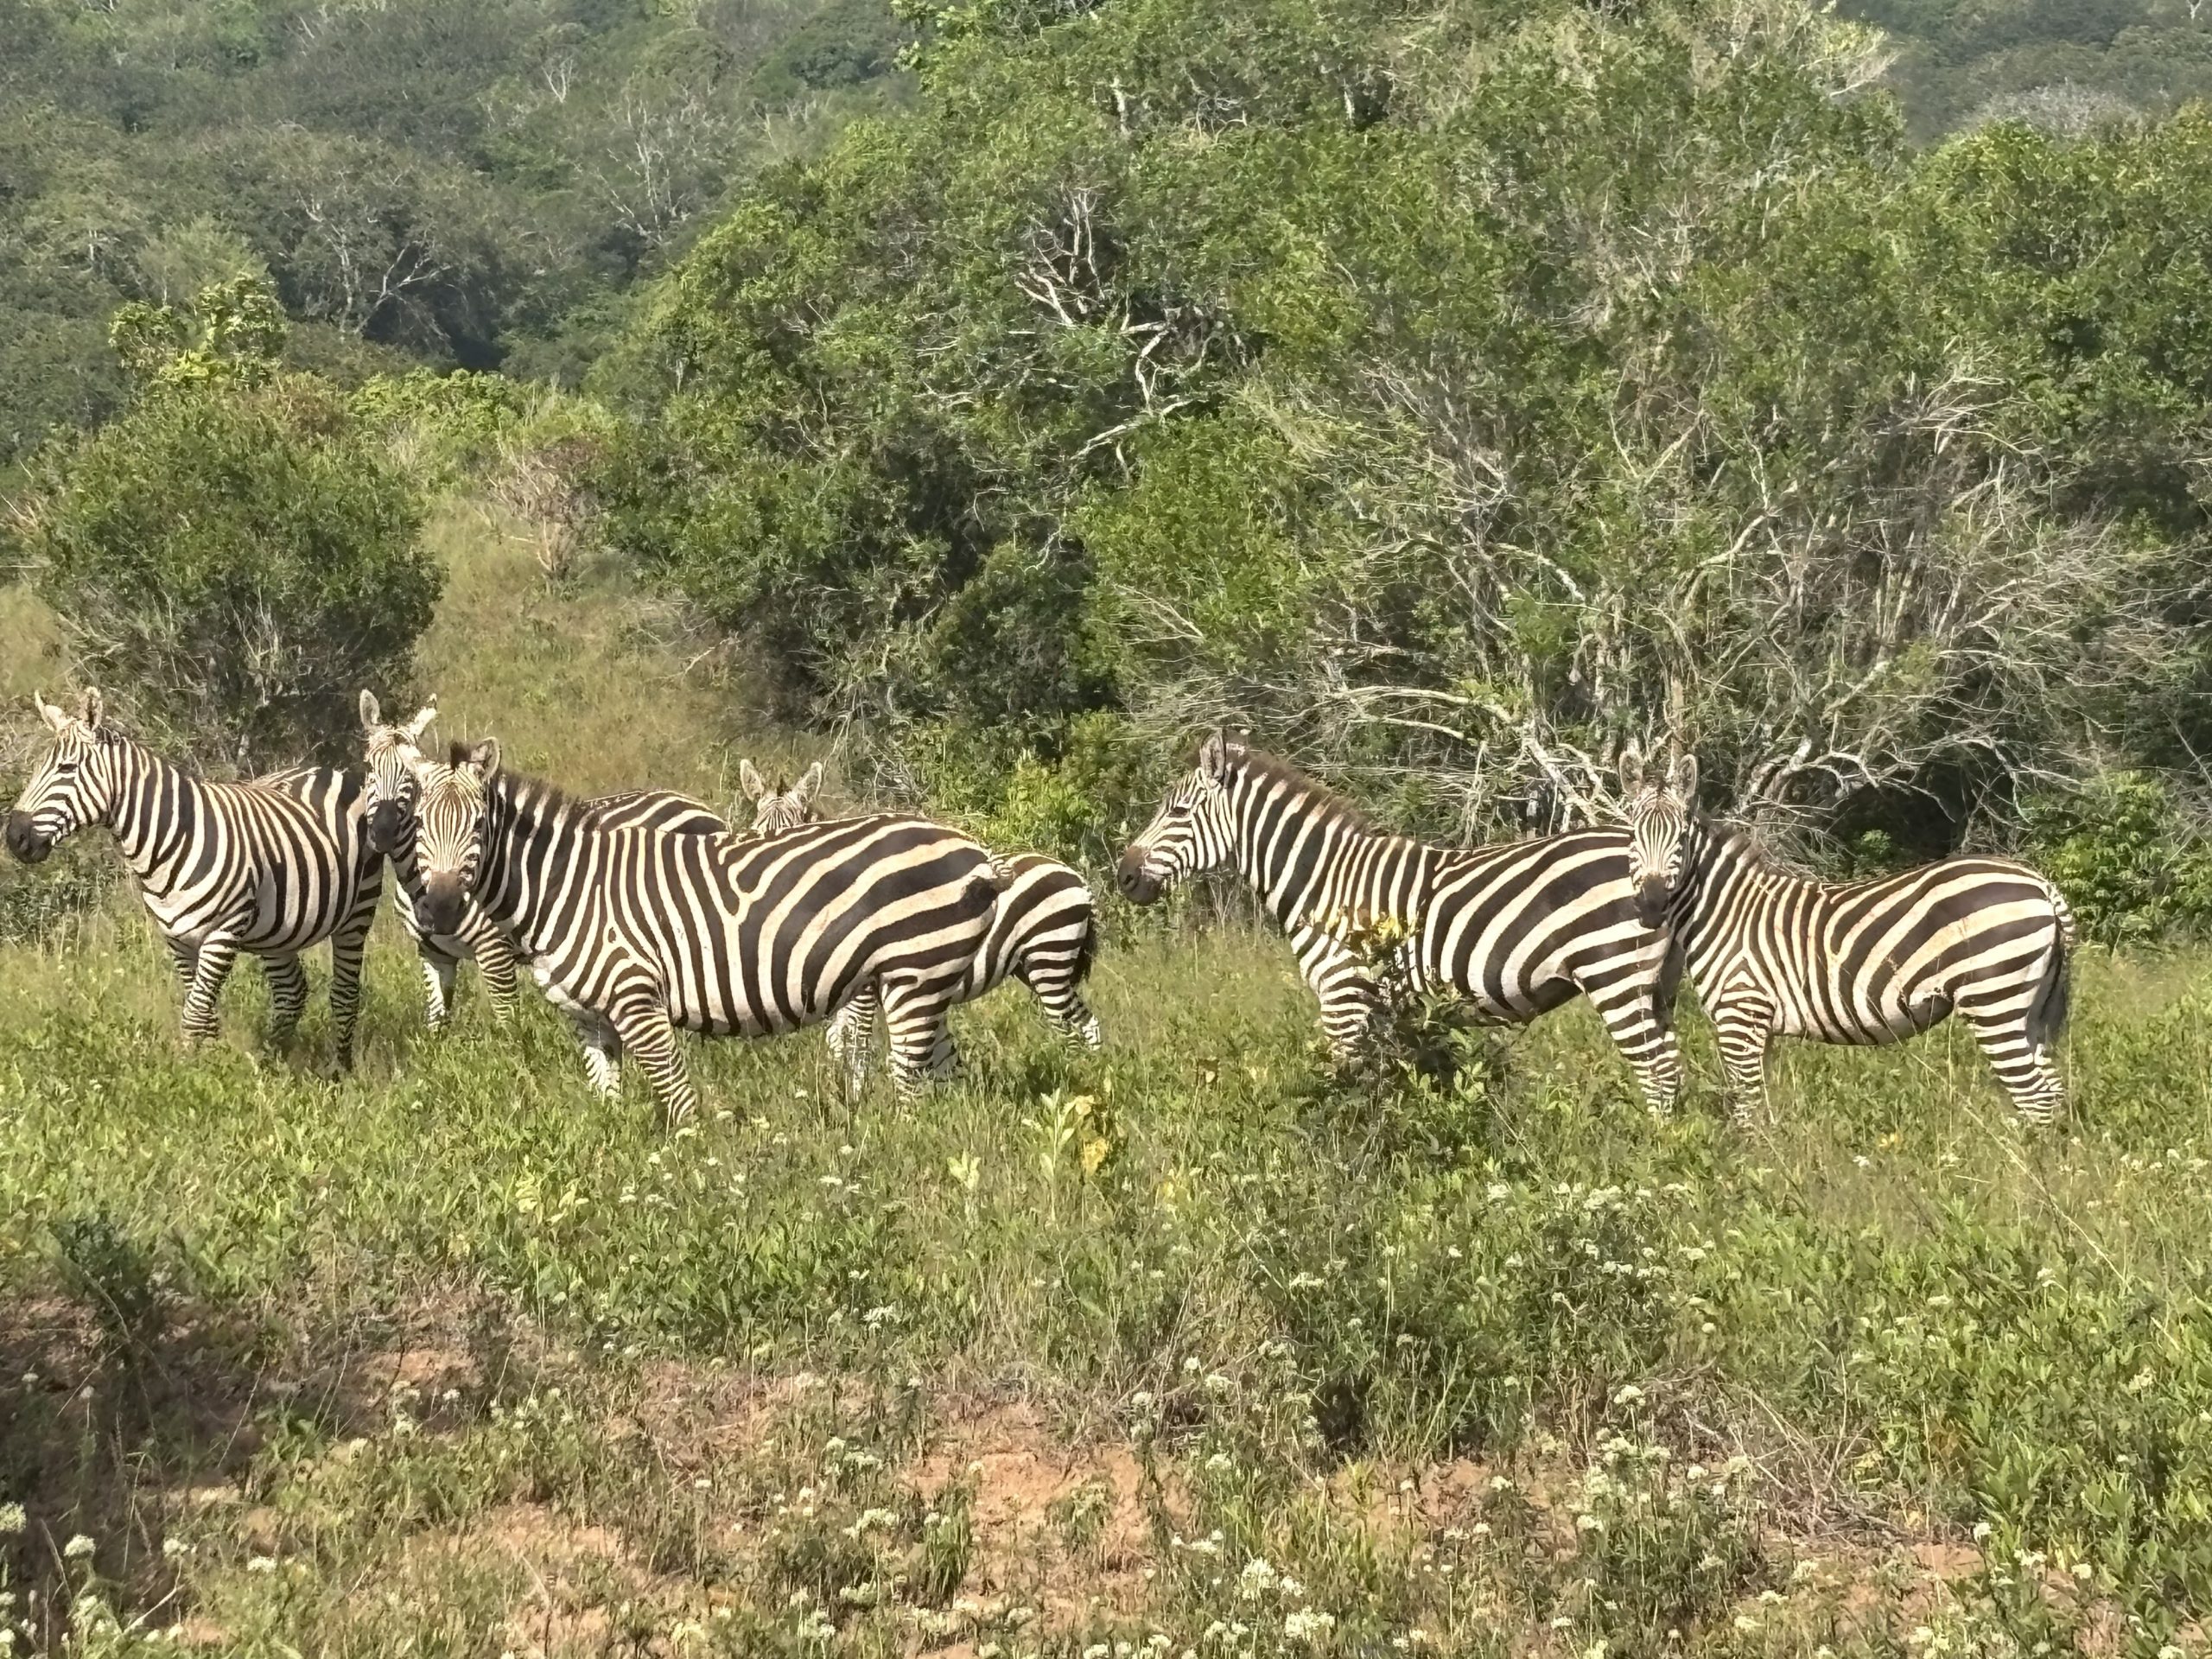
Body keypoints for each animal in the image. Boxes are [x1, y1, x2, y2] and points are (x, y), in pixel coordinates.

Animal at [6, 689, 382, 1065]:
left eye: (67, 768)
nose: (14, 837)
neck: (171, 841)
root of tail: (320, 769)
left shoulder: (222, 933)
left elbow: (195, 1014)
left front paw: (191, 1073)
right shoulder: (177, 938)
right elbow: (204, 1013)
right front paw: (208, 1066)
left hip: (357, 912)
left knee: (345, 993)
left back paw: (339, 1068)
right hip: (278, 928)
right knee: (292, 990)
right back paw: (272, 1059)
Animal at [407, 739, 1007, 1124]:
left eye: (478, 825)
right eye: (416, 825)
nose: (439, 909)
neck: (567, 888)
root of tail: (975, 850)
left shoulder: (636, 998)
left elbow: (678, 1099)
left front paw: (692, 1183)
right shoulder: (589, 1018)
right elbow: (608, 1104)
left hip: (913, 977)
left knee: (910, 1091)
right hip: (927, 980)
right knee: (946, 1082)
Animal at [739, 761, 1102, 1091]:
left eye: (794, 834)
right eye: (754, 832)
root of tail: (1077, 878)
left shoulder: (863, 988)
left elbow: (857, 1041)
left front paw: (859, 1101)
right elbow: (839, 1042)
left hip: (1049, 958)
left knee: (1076, 1024)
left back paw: (1082, 1073)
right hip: (1031, 966)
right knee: (1083, 1021)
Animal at [1115, 730, 1683, 1108]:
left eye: (1177, 813)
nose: (1124, 876)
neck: (1324, 882)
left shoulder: (1344, 995)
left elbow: (1349, 1086)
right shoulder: (1382, 1008)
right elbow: (1388, 1083)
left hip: (1615, 973)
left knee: (1657, 1070)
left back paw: (1652, 1156)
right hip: (1656, 984)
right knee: (1671, 1067)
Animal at [1620, 747, 2075, 1126]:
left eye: (1680, 838)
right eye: (1633, 836)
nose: (1650, 906)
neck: (1723, 909)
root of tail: (2040, 883)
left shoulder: (1741, 1014)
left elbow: (1746, 1108)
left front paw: (1752, 1167)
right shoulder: (1757, 1025)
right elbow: (1760, 1104)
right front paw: (1773, 1158)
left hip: (1994, 997)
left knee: (2035, 1096)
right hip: (2030, 1008)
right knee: (2051, 1092)